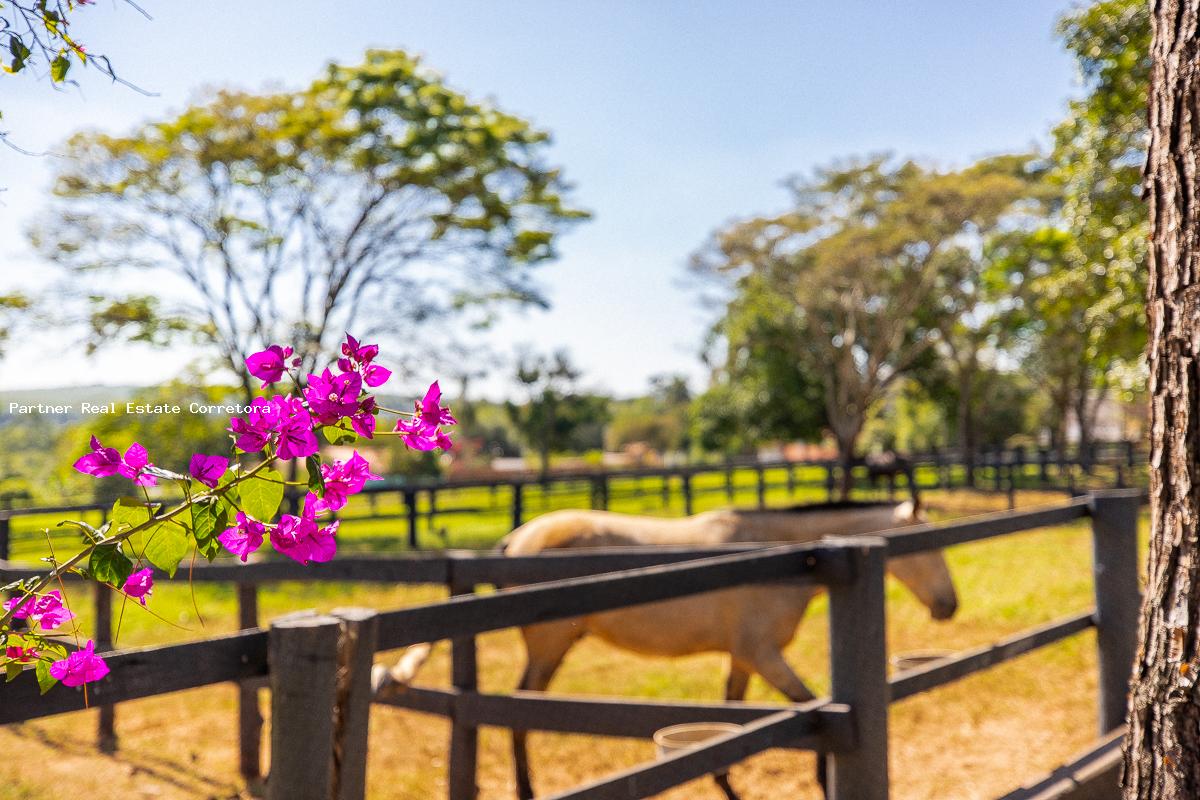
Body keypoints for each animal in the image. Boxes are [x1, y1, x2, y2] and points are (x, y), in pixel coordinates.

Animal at [384, 501, 955, 800]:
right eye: (927, 549)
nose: (949, 605)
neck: (786, 559)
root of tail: (514, 541)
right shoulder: (767, 657)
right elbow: (810, 712)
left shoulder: (743, 658)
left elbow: (733, 718)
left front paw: (727, 785)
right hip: (549, 650)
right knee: (520, 714)